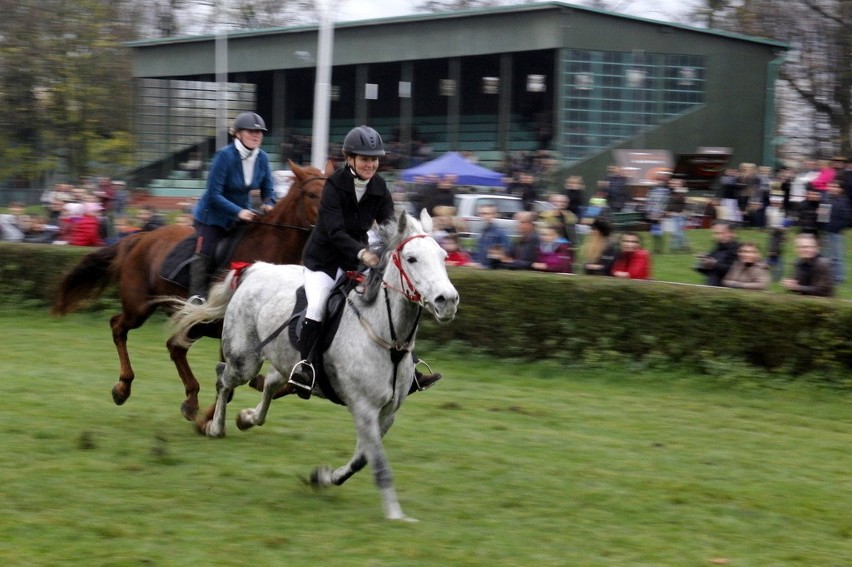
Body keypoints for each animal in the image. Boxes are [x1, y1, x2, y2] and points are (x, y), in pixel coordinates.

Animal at [50, 160, 330, 422]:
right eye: (312, 194)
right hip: (141, 307)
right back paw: (124, 388)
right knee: (119, 327)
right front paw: (212, 417)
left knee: (174, 347)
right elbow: (231, 383)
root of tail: (138, 238)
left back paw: (190, 400)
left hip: (192, 321)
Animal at [171, 211, 460, 520]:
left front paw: (323, 477)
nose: (448, 301)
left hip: (283, 360)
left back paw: (247, 418)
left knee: (269, 384)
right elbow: (379, 464)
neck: (387, 340)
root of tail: (256, 269)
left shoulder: (386, 414)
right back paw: (214, 426)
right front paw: (396, 515)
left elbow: (362, 459)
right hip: (244, 360)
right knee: (224, 379)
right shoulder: (364, 408)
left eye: (443, 256)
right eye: (411, 259)